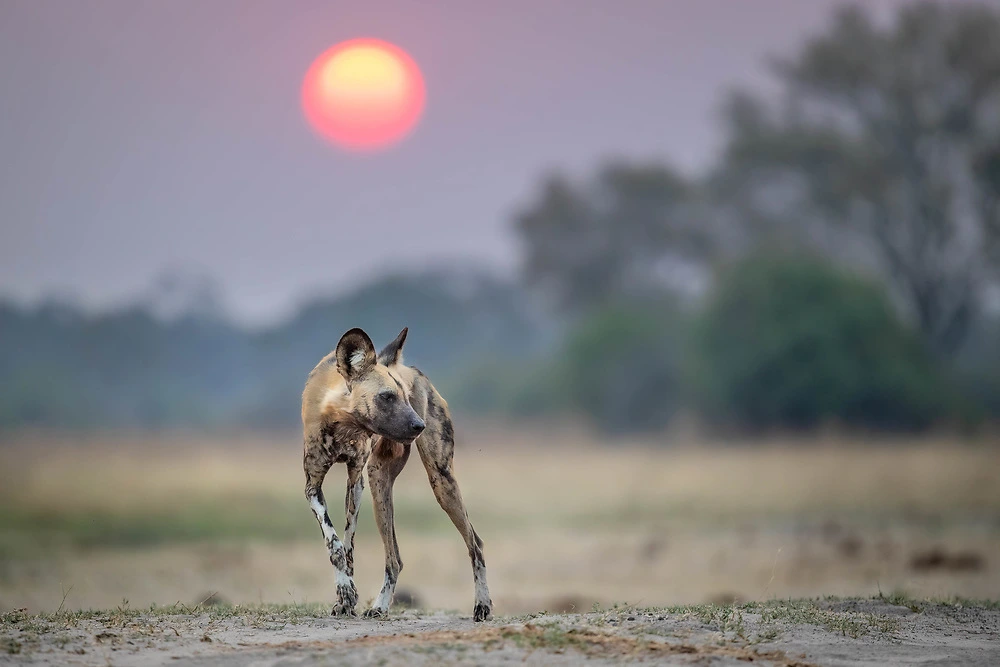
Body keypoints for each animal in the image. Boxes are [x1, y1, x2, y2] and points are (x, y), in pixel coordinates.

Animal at [302, 328, 494, 620]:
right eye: (387, 396)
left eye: (404, 394)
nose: (419, 425)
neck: (341, 421)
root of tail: (411, 369)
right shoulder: (313, 486)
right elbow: (335, 545)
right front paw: (345, 597)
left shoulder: (355, 481)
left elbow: (347, 546)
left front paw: (348, 595)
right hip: (379, 482)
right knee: (395, 559)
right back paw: (379, 605)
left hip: (438, 481)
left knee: (475, 544)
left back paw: (481, 604)